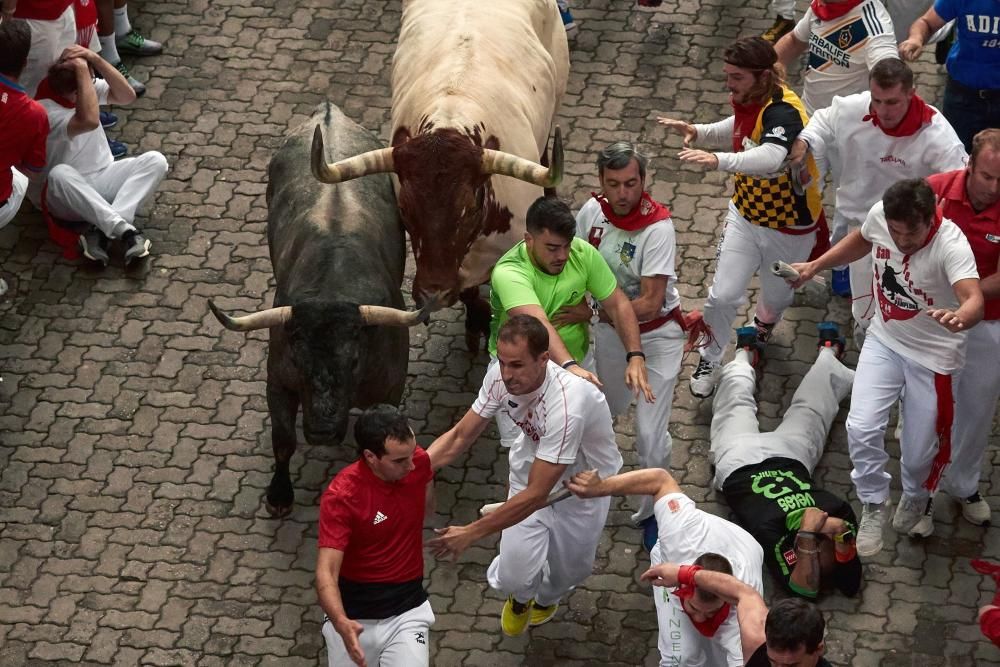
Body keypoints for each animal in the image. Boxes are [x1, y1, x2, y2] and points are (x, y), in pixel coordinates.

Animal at [209, 103, 428, 516]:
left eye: (354, 360)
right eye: (299, 359)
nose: (322, 431)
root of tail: (329, 111)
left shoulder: (389, 387)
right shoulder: (278, 379)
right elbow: (283, 440)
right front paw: (279, 494)